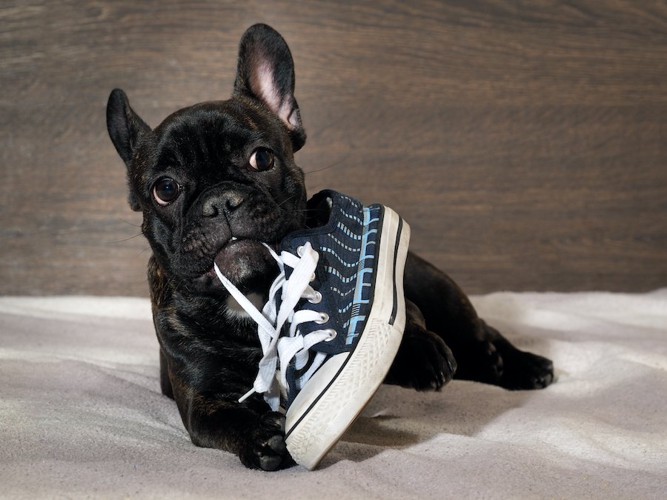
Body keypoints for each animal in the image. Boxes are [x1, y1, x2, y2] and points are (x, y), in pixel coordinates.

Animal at [104, 22, 552, 468]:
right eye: (165, 189)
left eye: (262, 159)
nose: (220, 202)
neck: (254, 297)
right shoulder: (202, 396)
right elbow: (225, 418)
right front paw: (262, 435)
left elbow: (400, 322)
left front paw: (417, 352)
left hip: (440, 292)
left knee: (481, 332)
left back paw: (522, 365)